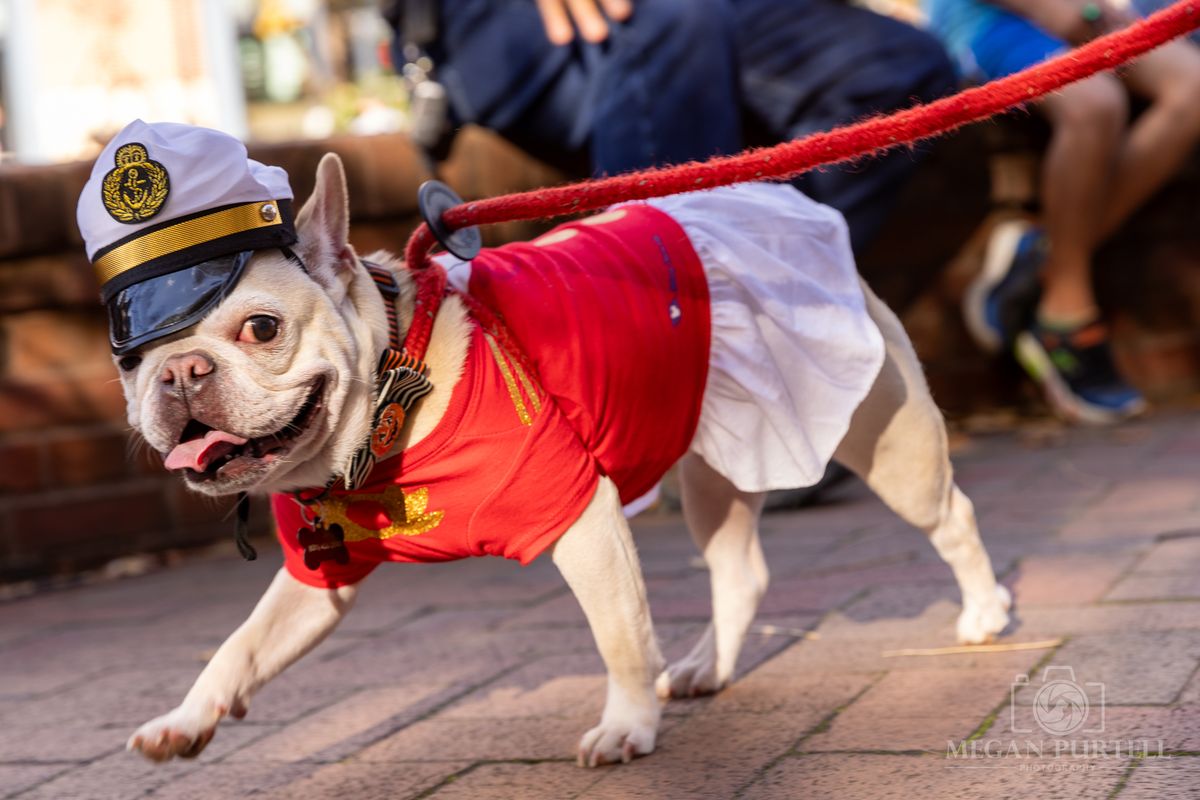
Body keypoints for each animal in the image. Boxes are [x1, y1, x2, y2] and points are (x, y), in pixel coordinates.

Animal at [77, 122, 1012, 767]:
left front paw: (626, 726)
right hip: (715, 456)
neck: (391, 393)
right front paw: (185, 720)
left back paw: (984, 612)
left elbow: (620, 635)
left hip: (885, 436)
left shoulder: (581, 518)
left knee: (954, 514)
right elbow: (240, 644)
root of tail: (773, 203)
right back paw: (706, 666)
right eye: (129, 357)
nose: (181, 372)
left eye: (261, 329)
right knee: (738, 568)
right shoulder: (317, 581)